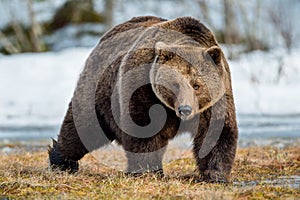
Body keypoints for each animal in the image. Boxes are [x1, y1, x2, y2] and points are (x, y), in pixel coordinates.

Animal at [48, 16, 237, 184]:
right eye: (175, 84)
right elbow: (144, 131)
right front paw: (148, 172)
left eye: (196, 85)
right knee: (83, 128)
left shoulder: (216, 100)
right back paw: (61, 160)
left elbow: (216, 133)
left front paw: (215, 175)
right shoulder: (144, 90)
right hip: (99, 93)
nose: (185, 109)